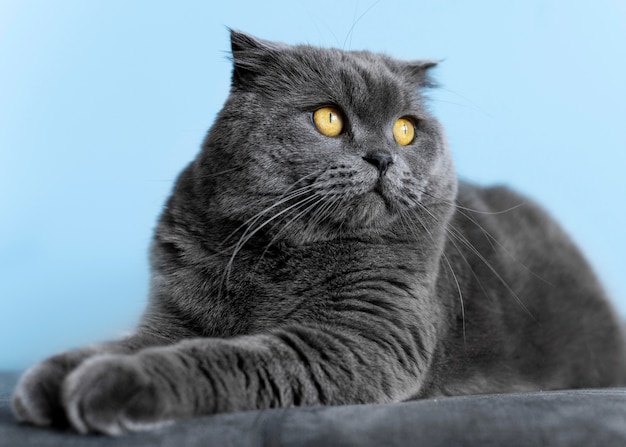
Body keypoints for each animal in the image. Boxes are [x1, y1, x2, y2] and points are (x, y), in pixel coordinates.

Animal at [11, 30, 624, 434]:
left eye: (406, 130)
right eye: (328, 118)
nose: (382, 157)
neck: (276, 252)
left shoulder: (361, 337)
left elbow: (221, 357)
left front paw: (112, 382)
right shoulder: (173, 316)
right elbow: (123, 342)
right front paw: (50, 378)